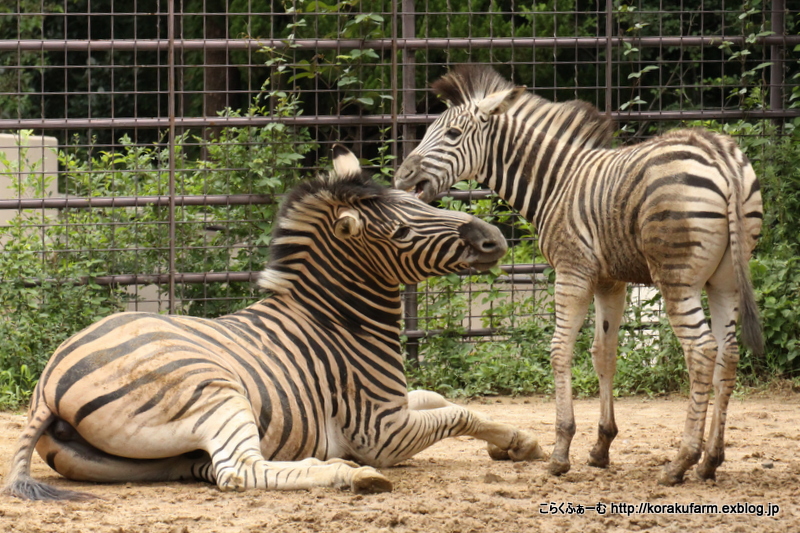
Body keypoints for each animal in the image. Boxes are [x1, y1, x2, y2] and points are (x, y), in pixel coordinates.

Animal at [3, 144, 544, 498]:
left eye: (417, 199)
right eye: (404, 232)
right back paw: (351, 476)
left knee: (213, 470)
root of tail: (49, 382)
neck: (336, 320)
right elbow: (458, 412)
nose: (496, 238)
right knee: (241, 471)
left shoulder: (395, 404)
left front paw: (520, 441)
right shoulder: (380, 431)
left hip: (150, 460)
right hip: (214, 389)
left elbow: (442, 398)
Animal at [394, 64, 764, 484]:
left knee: (701, 351)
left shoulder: (572, 271)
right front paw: (602, 446)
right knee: (728, 355)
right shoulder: (610, 280)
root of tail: (720, 155)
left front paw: (560, 450)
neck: (557, 180)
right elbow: (604, 353)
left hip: (676, 278)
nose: (402, 174)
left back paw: (681, 461)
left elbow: (560, 350)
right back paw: (710, 460)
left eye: (453, 134)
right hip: (725, 280)